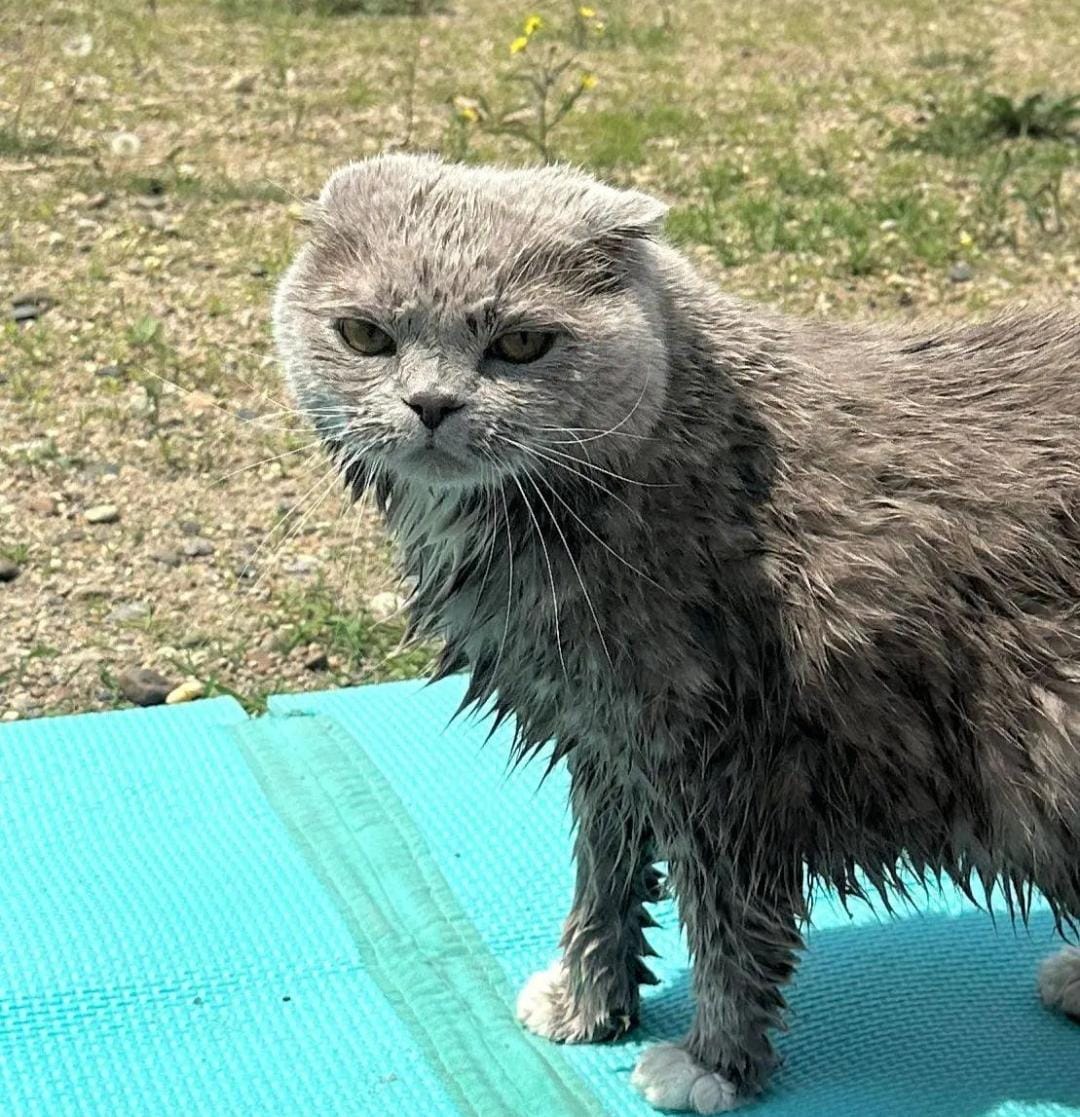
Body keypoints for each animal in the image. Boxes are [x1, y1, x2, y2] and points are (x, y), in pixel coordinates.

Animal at [272, 153, 1080, 1112]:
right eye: (365, 335)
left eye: (520, 344)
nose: (430, 402)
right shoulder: (607, 737)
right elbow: (604, 874)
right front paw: (587, 999)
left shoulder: (725, 759)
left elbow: (727, 922)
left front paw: (714, 1061)